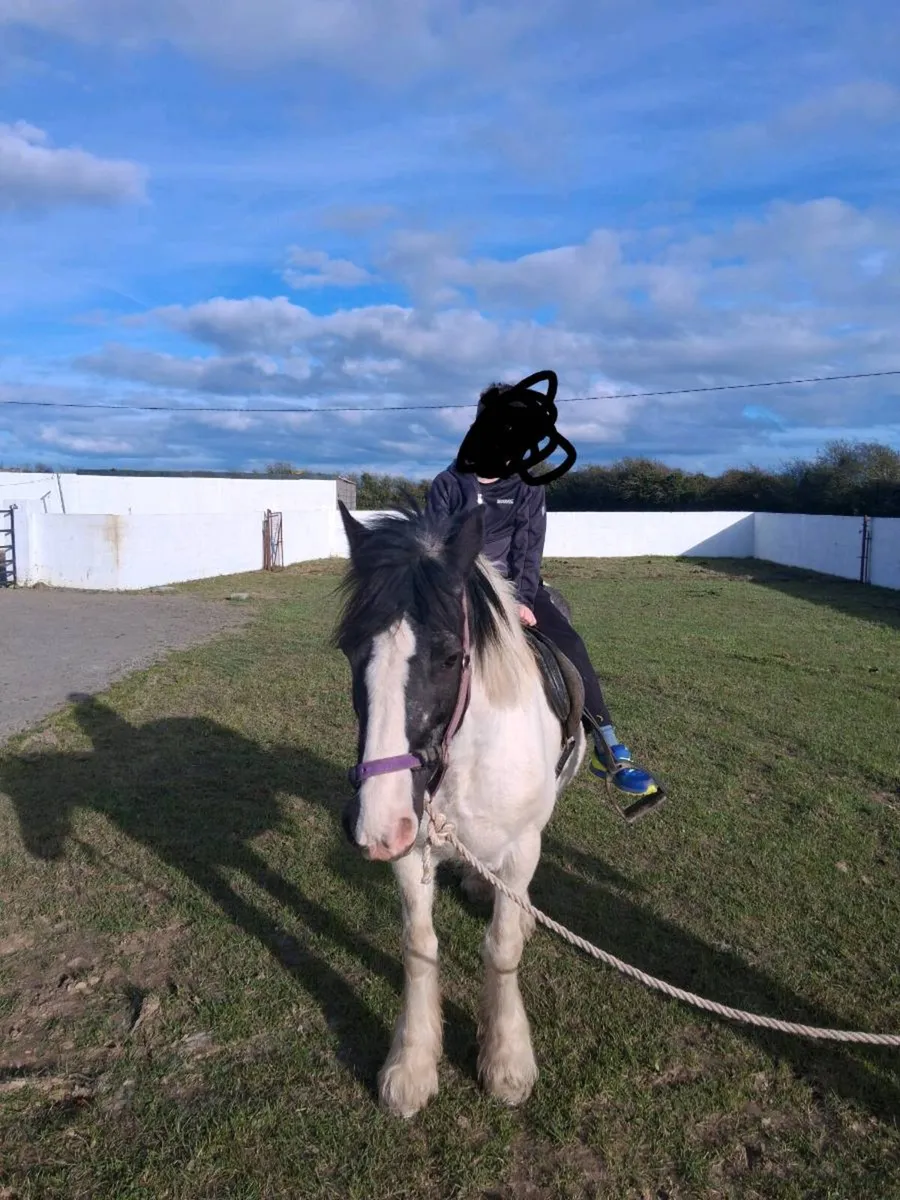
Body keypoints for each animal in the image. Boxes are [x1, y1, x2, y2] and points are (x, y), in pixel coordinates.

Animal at [333, 499, 587, 1118]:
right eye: (350, 651)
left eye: (451, 657)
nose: (375, 825)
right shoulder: (413, 847)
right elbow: (419, 945)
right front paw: (412, 1064)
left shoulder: (521, 847)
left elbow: (501, 946)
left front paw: (507, 1059)